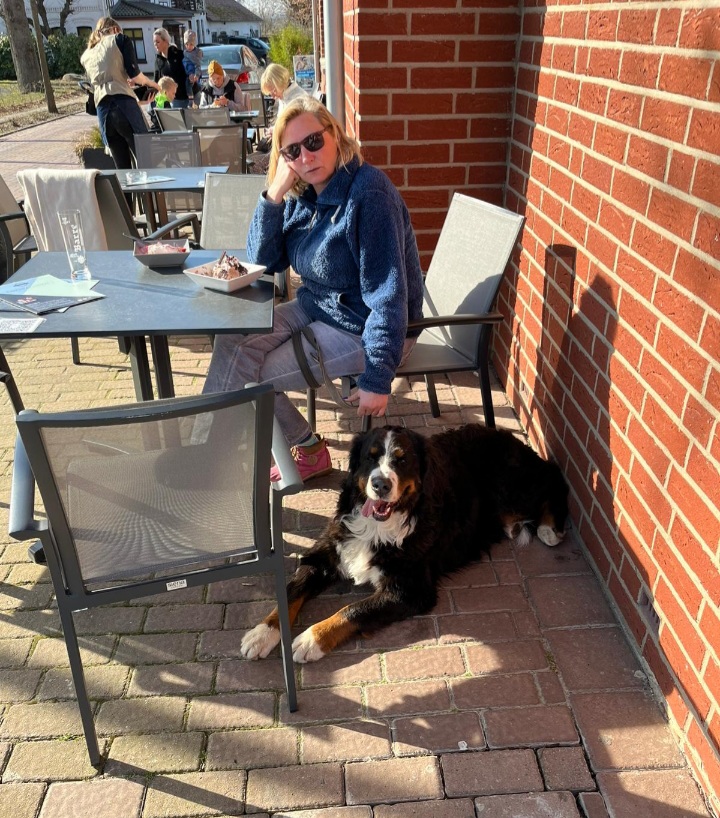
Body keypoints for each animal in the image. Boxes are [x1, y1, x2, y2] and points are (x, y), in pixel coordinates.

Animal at [241, 424, 569, 663]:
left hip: (517, 486)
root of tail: (507, 436)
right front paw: (262, 632)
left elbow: (352, 610)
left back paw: (549, 529)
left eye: (402, 459)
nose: (380, 484)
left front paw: (311, 638)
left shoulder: (409, 590)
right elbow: (290, 591)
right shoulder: (324, 554)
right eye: (371, 457)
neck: (377, 527)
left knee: (554, 477)